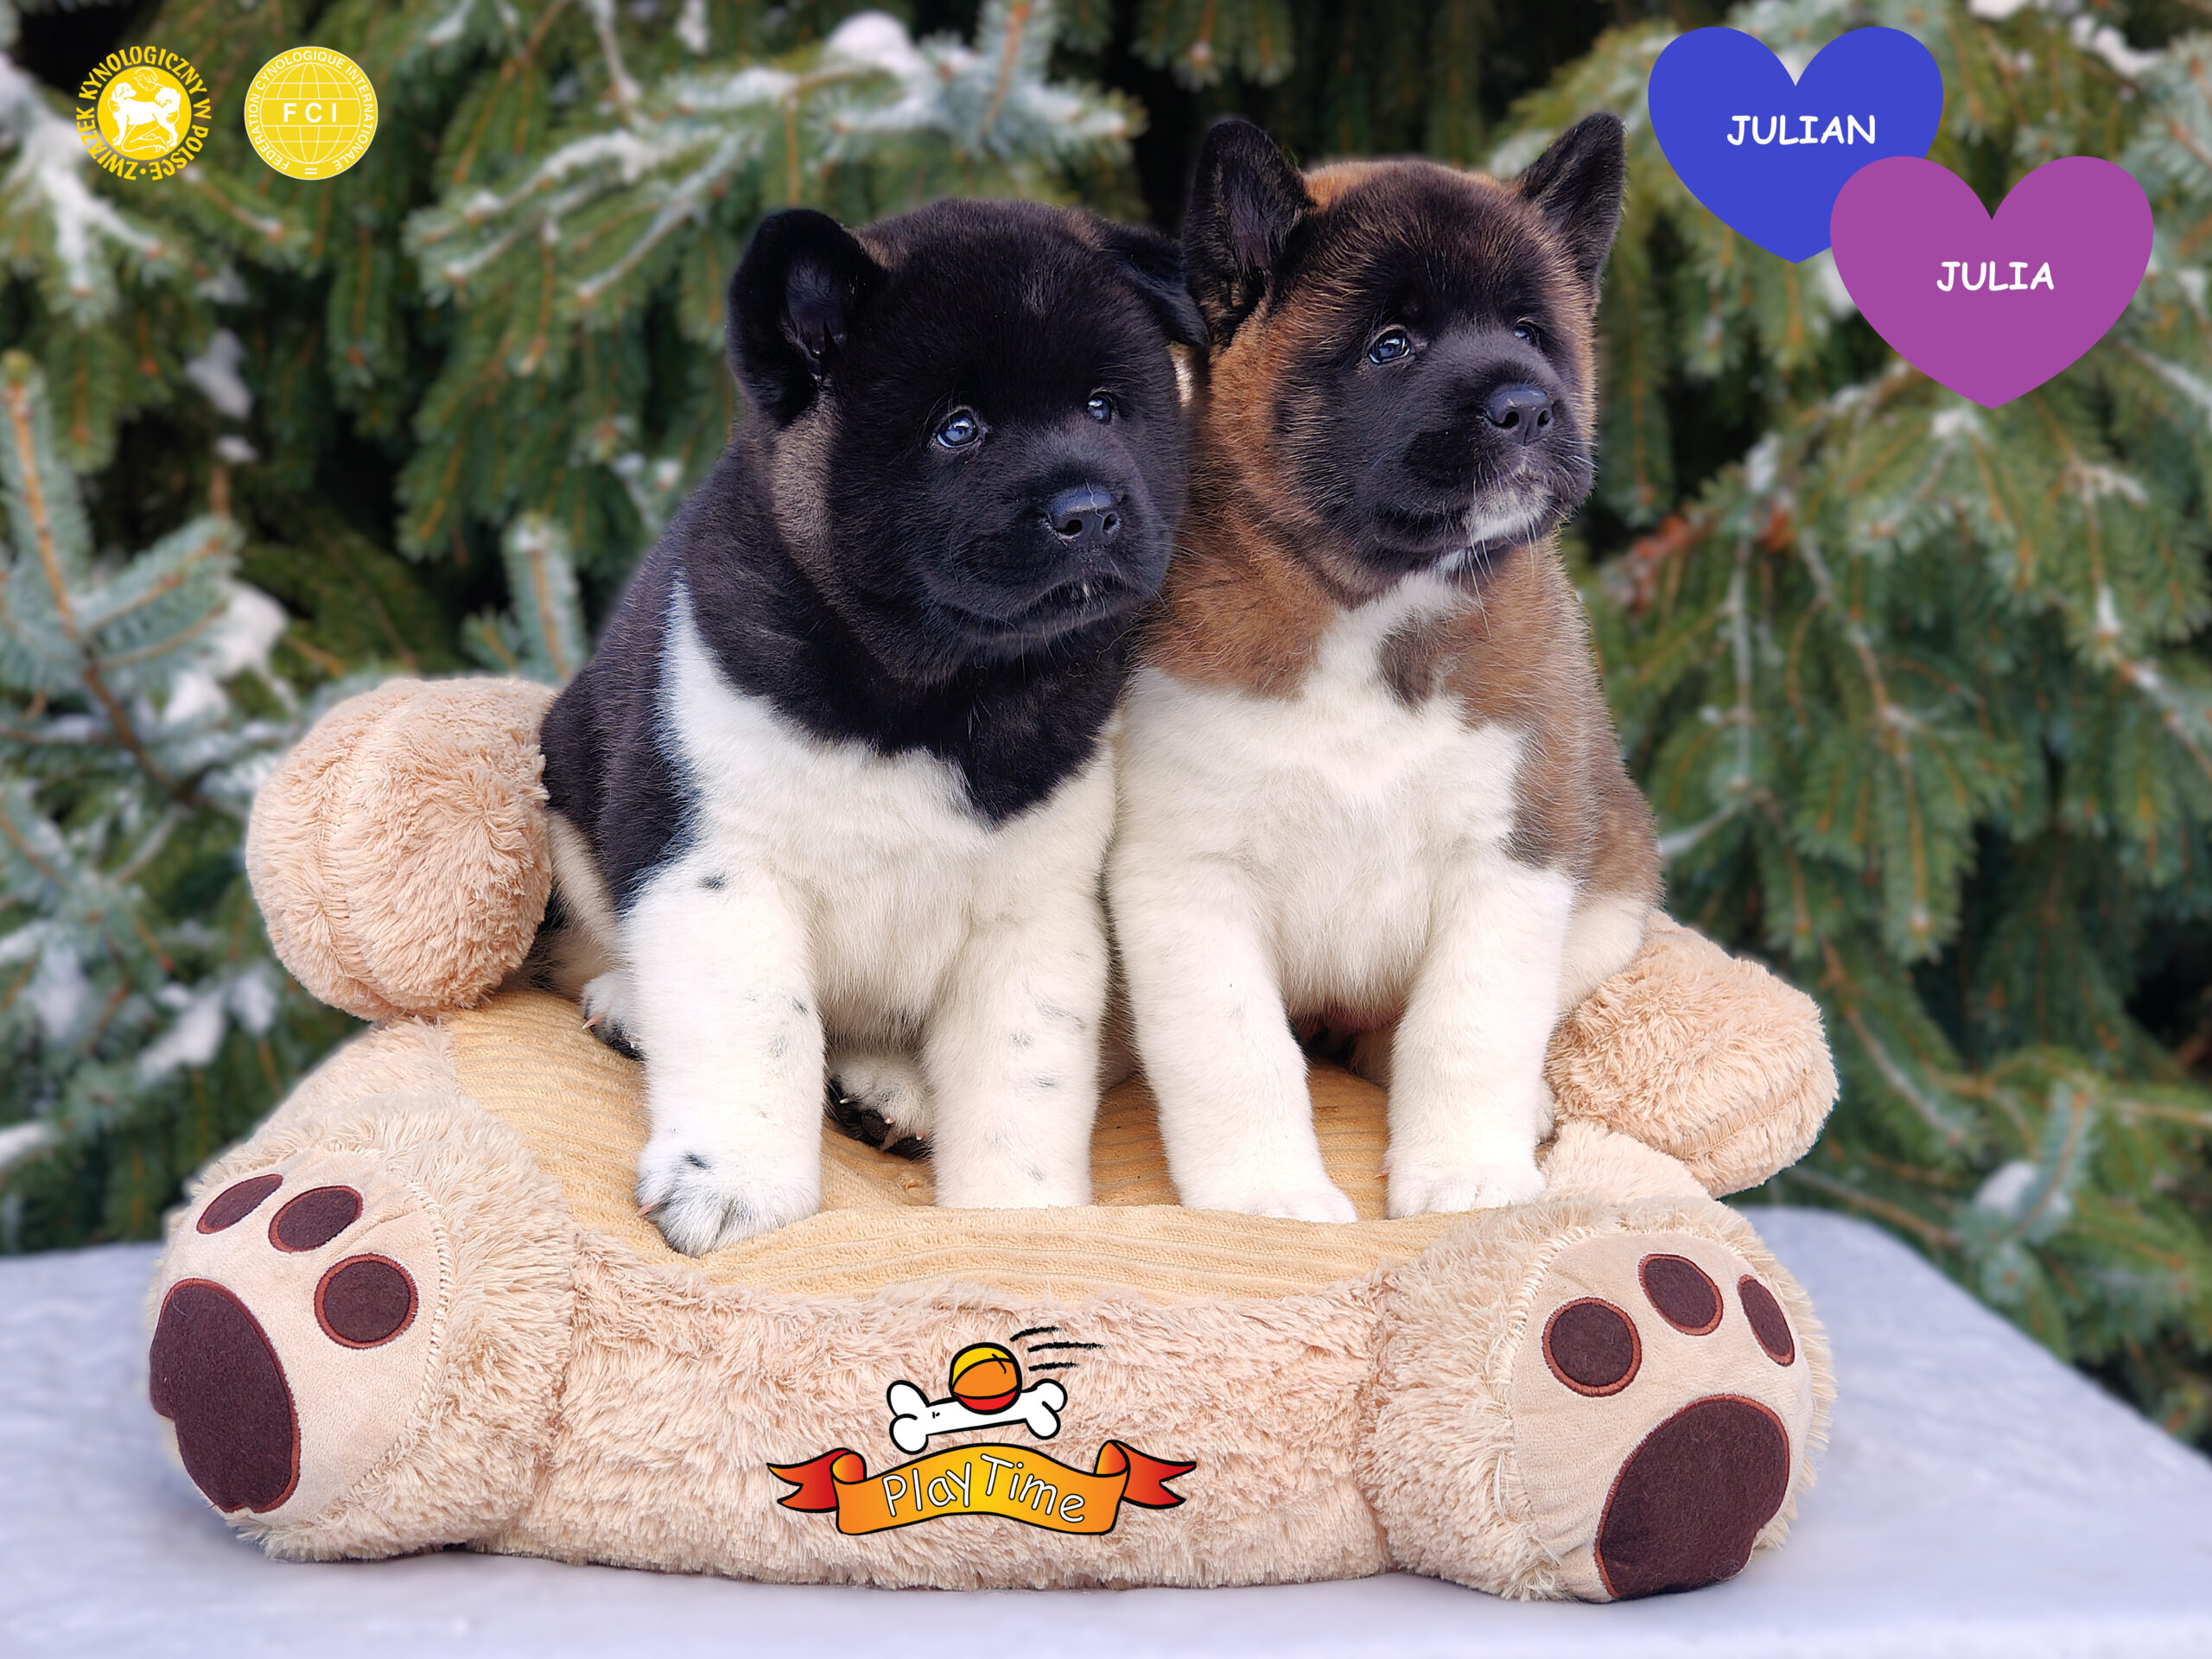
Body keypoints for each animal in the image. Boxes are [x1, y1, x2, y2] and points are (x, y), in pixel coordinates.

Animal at [535, 201, 1200, 1254]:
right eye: (957, 431)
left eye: (1104, 408)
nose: (1089, 510)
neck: (939, 694)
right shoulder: (717, 867)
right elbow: (758, 1029)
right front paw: (734, 1186)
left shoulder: (1035, 916)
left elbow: (1025, 1081)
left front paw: (1020, 1217)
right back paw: (631, 1007)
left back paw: (891, 1094)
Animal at [1106, 116, 1659, 1223]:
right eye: (1390, 346)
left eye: (1530, 333)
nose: (1526, 408)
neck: (1367, 607)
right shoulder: (1184, 878)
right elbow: (1235, 1051)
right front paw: (1266, 1197)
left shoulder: (1514, 861)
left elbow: (1465, 1030)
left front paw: (1467, 1177)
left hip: (1614, 878)